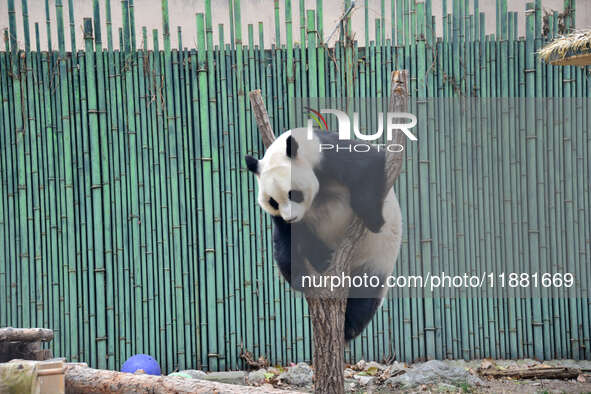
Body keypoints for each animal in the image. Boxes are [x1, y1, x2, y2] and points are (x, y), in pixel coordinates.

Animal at [245, 127, 402, 340]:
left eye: (293, 194)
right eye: (273, 202)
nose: (291, 217)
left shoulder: (327, 154)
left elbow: (369, 165)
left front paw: (374, 219)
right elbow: (287, 239)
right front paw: (300, 275)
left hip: (377, 257)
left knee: (366, 291)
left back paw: (350, 325)